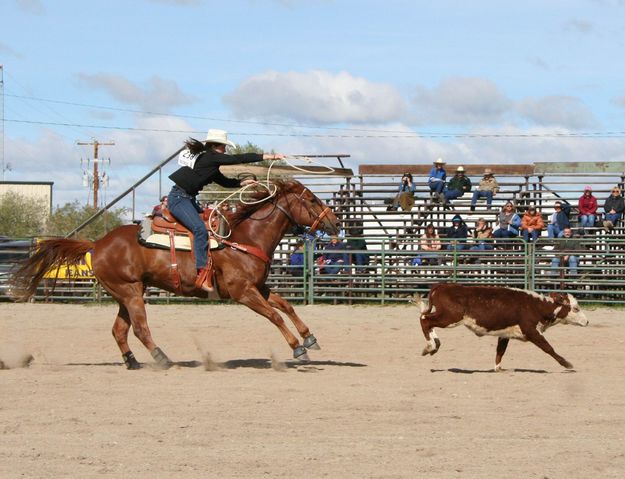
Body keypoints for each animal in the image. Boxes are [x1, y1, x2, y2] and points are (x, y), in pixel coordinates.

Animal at [9, 181, 338, 372]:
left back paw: (133, 363)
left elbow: (286, 306)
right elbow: (274, 315)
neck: (245, 236)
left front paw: (310, 338)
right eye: (311, 199)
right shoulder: (243, 292)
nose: (335, 221)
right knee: (140, 329)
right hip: (130, 293)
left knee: (119, 330)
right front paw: (297, 348)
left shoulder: (259, 286)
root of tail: (96, 244)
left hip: (127, 293)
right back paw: (162, 359)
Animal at [416, 284, 588, 372]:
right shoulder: (531, 331)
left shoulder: (505, 334)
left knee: (425, 320)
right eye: (576, 308)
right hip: (450, 317)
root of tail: (441, 286)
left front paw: (498, 368)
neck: (536, 306)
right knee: (425, 320)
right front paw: (567, 364)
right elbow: (548, 348)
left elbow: (500, 351)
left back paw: (433, 345)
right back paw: (431, 346)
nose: (587, 322)